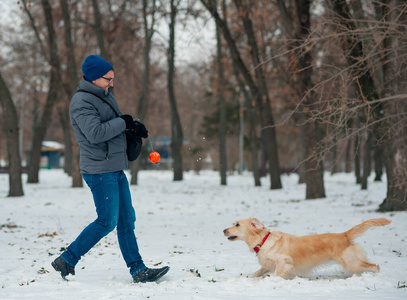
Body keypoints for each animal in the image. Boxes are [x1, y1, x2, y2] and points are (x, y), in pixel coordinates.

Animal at [223, 218, 392, 278]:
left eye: (237, 224)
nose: (223, 230)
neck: (263, 241)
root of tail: (344, 235)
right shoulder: (268, 264)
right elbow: (256, 273)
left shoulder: (284, 261)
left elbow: (277, 274)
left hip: (351, 262)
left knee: (375, 266)